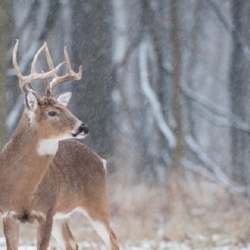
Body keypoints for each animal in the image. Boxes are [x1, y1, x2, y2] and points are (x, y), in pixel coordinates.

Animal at [2, 40, 119, 250]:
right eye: (52, 112)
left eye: (65, 107)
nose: (84, 127)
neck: (23, 190)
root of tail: (101, 160)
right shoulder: (7, 215)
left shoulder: (46, 212)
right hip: (62, 216)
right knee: (72, 242)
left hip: (97, 200)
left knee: (113, 238)